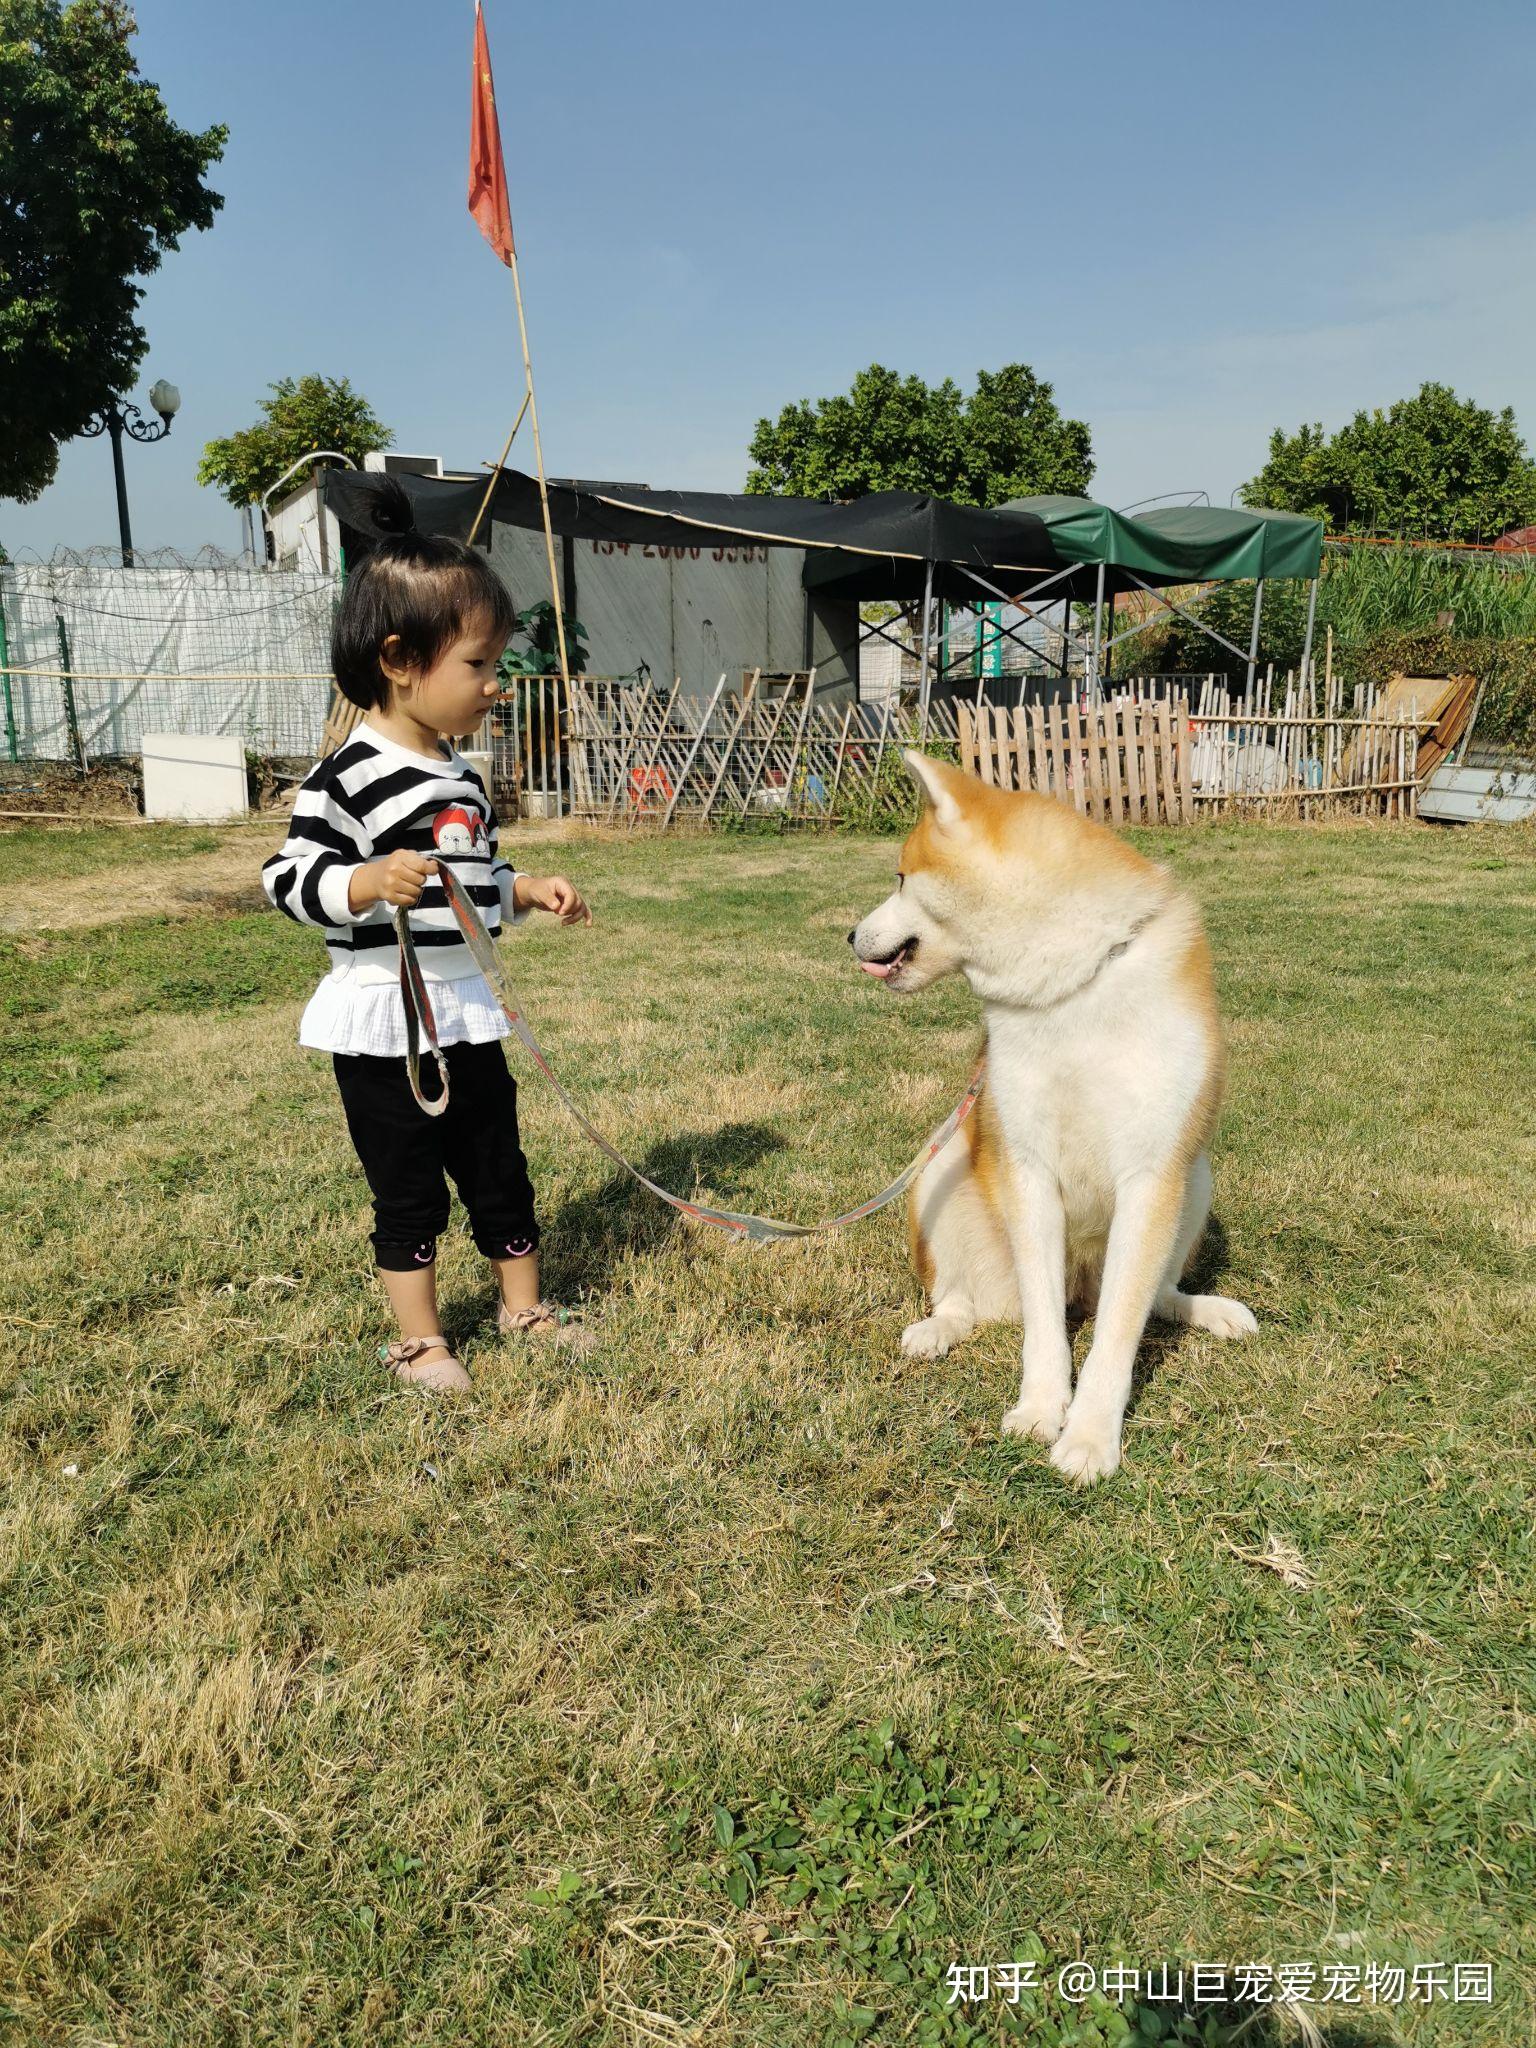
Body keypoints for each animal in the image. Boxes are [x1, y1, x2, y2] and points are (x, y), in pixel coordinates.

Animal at [847, 745, 1253, 1482]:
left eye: (900, 877)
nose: (849, 934)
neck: (1068, 986)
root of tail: (1081, 1290)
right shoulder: (1027, 1168)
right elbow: (1042, 1327)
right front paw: (1040, 1409)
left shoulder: (1153, 1176)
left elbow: (1118, 1334)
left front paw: (1090, 1437)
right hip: (940, 1173)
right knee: (965, 1299)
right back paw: (936, 1329)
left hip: (1197, 1178)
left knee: (1154, 1298)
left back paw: (1204, 1309)